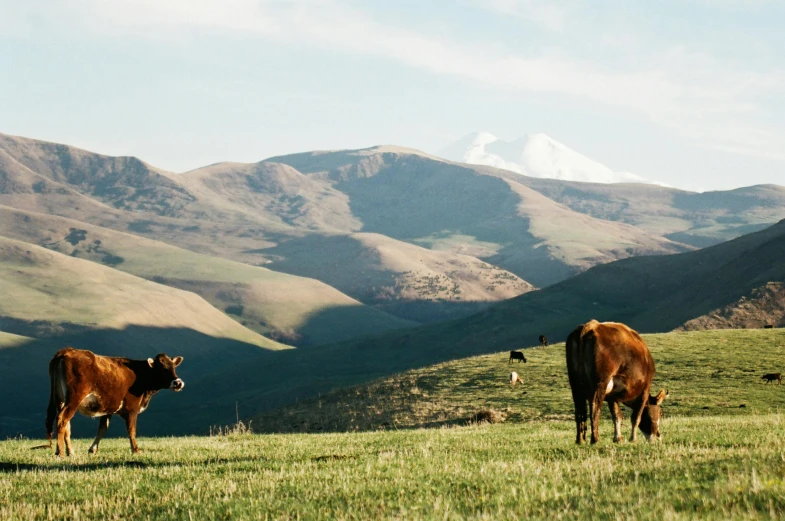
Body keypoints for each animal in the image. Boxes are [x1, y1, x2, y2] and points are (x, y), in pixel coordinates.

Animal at [46, 350, 185, 456]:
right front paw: (136, 450)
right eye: (162, 369)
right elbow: (131, 430)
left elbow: (103, 429)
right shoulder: (132, 409)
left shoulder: (107, 409)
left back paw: (69, 451)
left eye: (173, 367)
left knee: (66, 425)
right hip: (74, 398)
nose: (178, 383)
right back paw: (61, 452)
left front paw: (93, 449)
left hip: (60, 400)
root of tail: (66, 351)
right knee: (62, 419)